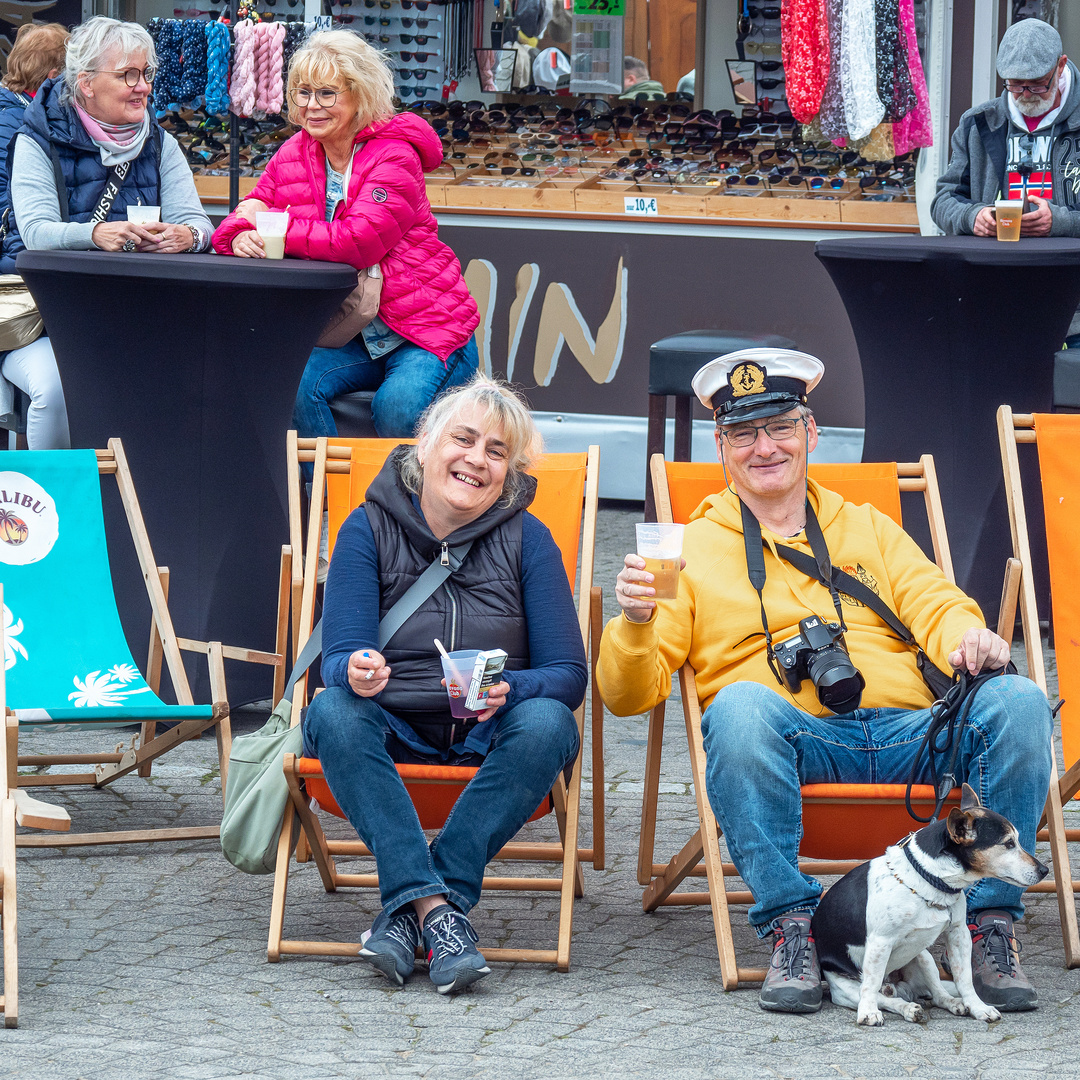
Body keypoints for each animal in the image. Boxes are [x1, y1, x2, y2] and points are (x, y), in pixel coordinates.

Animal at [812, 781, 1045, 1023]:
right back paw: (905, 1008)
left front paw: (977, 1007)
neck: (929, 880)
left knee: (937, 994)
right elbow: (871, 984)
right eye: (1008, 843)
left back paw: (953, 1003)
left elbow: (964, 980)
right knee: (883, 997)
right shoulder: (880, 942)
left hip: (923, 958)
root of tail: (900, 987)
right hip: (847, 989)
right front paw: (867, 1012)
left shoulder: (958, 934)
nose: (1044, 870)